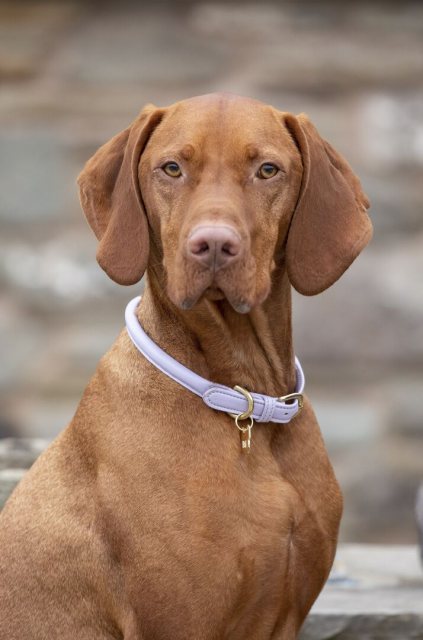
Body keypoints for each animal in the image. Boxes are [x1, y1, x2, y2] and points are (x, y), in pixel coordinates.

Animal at [0, 92, 372, 636]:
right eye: (172, 168)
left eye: (267, 169)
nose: (213, 245)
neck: (248, 406)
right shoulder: (178, 622)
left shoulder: (287, 616)